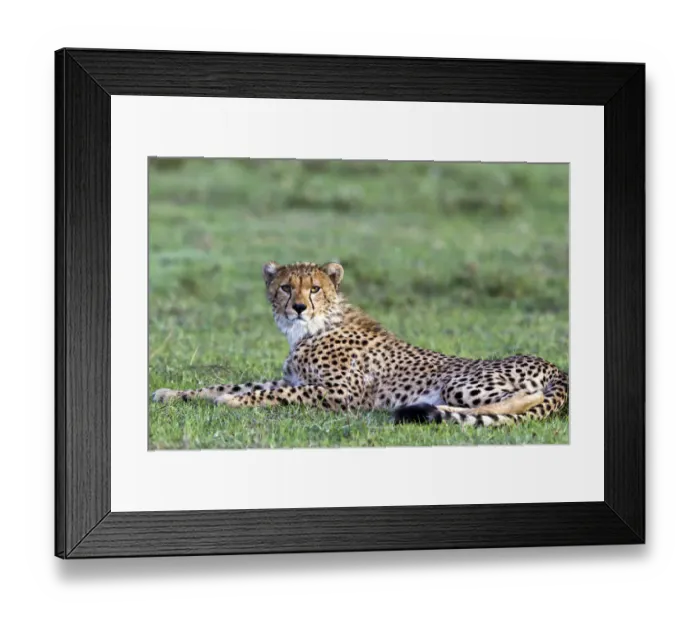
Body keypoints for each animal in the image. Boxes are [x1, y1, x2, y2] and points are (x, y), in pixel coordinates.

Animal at [152, 261, 569, 427]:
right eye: (286, 287)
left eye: (314, 288)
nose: (299, 307)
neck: (312, 328)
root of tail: (555, 366)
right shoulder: (293, 379)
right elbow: (231, 384)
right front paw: (174, 393)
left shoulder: (341, 394)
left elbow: (266, 394)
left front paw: (233, 402)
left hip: (461, 382)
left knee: (519, 404)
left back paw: (431, 409)